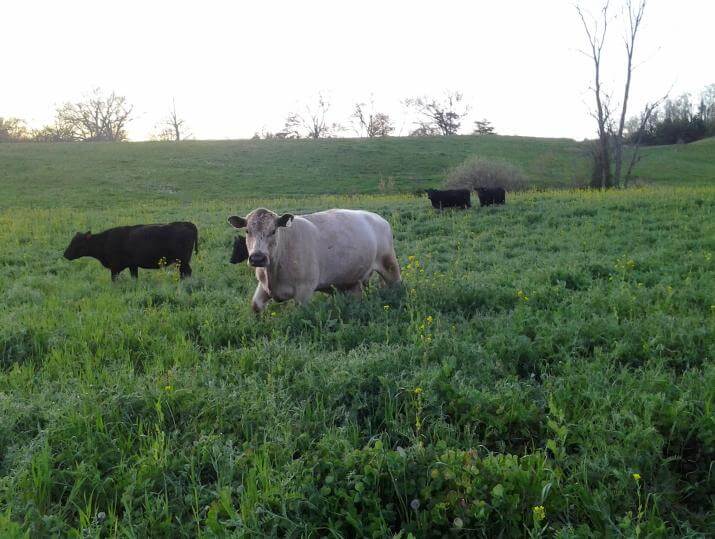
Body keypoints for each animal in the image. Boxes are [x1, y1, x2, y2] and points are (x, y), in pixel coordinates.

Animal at [63, 222, 198, 281]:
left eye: (77, 242)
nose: (65, 254)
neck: (105, 240)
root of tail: (185, 224)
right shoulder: (133, 266)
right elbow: (134, 277)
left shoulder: (115, 268)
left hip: (182, 261)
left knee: (186, 272)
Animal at [227, 208, 401, 312]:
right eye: (247, 231)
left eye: (273, 230)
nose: (257, 257)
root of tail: (378, 217)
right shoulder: (263, 286)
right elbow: (255, 306)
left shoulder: (304, 290)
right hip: (351, 281)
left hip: (389, 264)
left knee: (397, 285)